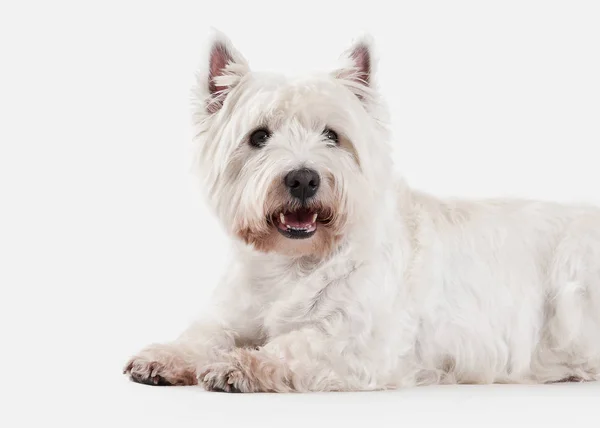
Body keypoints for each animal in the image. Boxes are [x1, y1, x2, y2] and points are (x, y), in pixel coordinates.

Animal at [124, 30, 600, 392]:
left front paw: (239, 365)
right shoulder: (236, 309)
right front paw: (165, 356)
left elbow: (295, 345)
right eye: (258, 136)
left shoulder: (361, 343)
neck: (292, 264)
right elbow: (207, 333)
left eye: (332, 136)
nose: (303, 179)